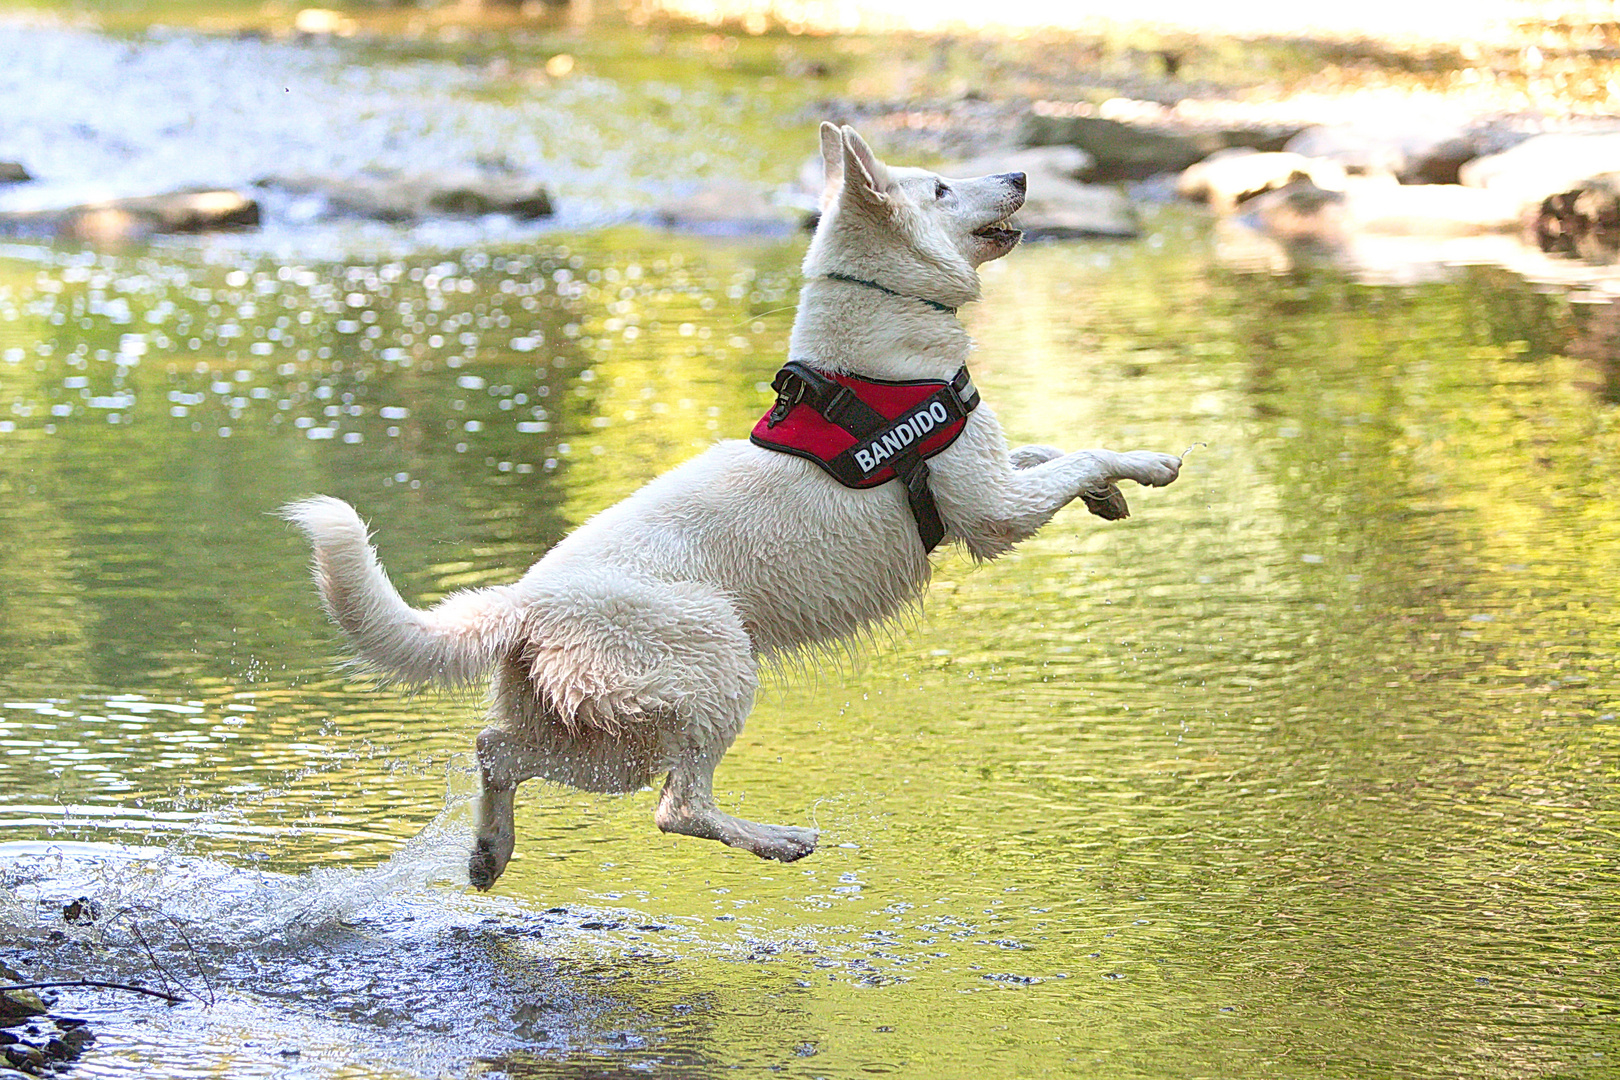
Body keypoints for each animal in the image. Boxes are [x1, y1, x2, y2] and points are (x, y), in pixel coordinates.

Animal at [285, 127, 1185, 893]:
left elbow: (1052, 449)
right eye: (938, 187)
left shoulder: (997, 474)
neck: (877, 364)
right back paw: (778, 840)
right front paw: (1144, 467)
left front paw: (1115, 489)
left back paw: (487, 854)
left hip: (601, 735)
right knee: (676, 808)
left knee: (498, 751)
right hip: (713, 667)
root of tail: (523, 604)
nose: (1023, 175)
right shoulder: (993, 511)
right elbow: (1075, 454)